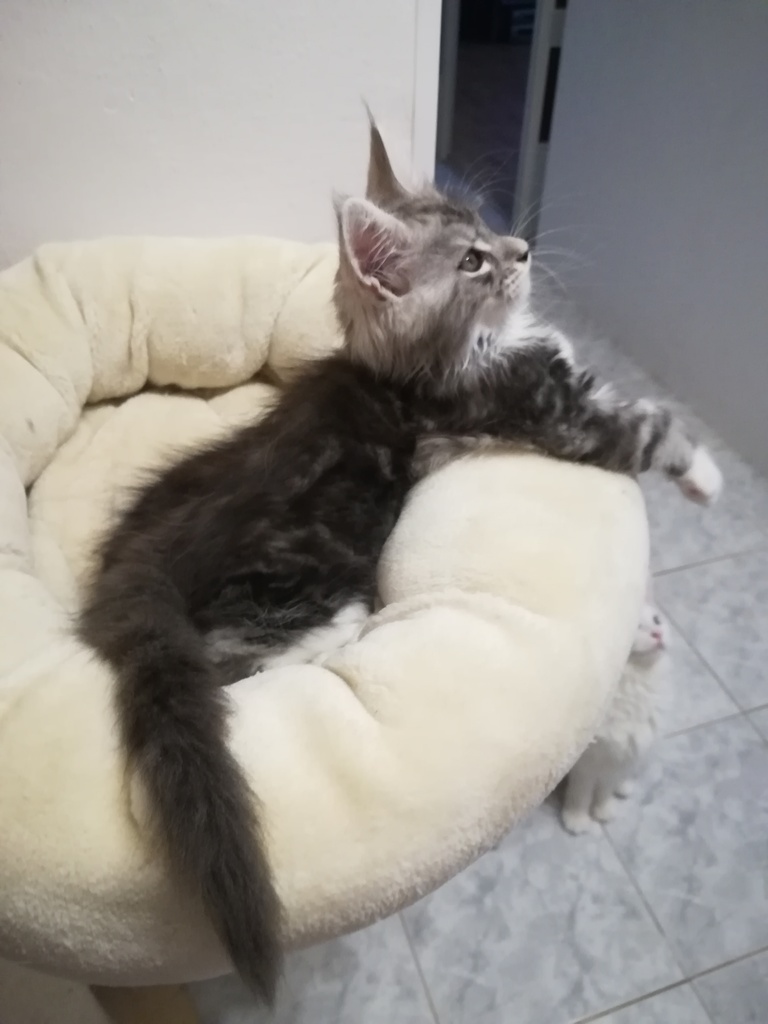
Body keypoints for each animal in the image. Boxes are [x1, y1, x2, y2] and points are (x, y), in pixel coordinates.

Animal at [561, 599, 669, 835]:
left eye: (657, 620)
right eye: (635, 627)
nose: (658, 634)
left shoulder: (619, 756)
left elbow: (604, 791)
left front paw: (604, 812)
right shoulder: (589, 762)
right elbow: (581, 795)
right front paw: (577, 821)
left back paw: (624, 788)